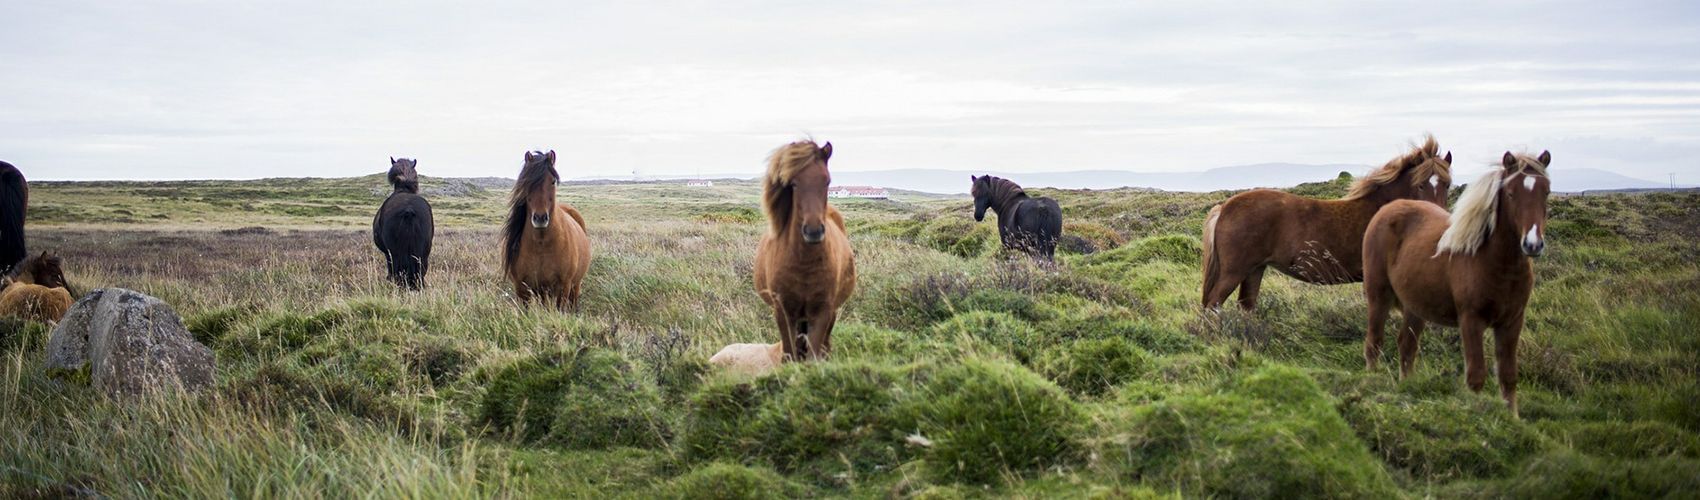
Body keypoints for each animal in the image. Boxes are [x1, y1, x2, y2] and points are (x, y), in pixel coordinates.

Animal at [374, 156, 438, 289]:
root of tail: (409, 209)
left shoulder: (388, 253)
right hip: (424, 252)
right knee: (420, 272)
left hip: (394, 253)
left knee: (397, 272)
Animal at [496, 149, 591, 312]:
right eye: (526, 183)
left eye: (552, 181)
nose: (540, 218)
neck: (541, 244)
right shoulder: (522, 289)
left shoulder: (563, 286)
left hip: (574, 285)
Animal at [758, 138, 863, 360]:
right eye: (794, 183)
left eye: (827, 181)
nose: (813, 231)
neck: (803, 263)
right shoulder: (784, 312)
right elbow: (790, 354)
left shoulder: (823, 312)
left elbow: (813, 357)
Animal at [1203, 134, 1455, 311]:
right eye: (1420, 184)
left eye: (1447, 184)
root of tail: (1224, 208)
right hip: (1234, 271)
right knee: (1213, 304)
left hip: (1255, 269)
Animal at [1353, 151, 1557, 413]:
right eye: (1511, 193)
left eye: (1546, 192)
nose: (1532, 244)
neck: (1495, 263)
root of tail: (1387, 209)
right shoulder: (1471, 320)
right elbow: (1476, 376)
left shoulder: (1512, 322)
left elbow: (1508, 376)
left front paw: (1511, 417)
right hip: (1379, 296)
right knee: (1374, 343)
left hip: (1415, 307)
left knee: (1407, 345)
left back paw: (1406, 388)